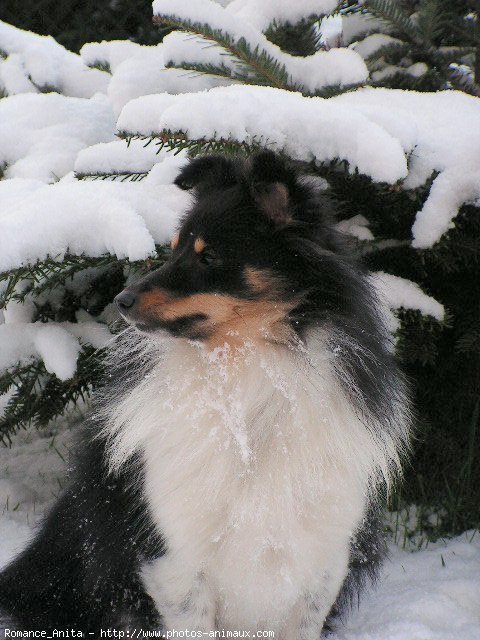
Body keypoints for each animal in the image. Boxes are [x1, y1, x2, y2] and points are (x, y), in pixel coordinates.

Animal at [0, 150, 412, 636]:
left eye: (209, 256)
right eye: (175, 246)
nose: (120, 300)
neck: (245, 378)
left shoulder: (323, 556)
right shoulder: (174, 554)